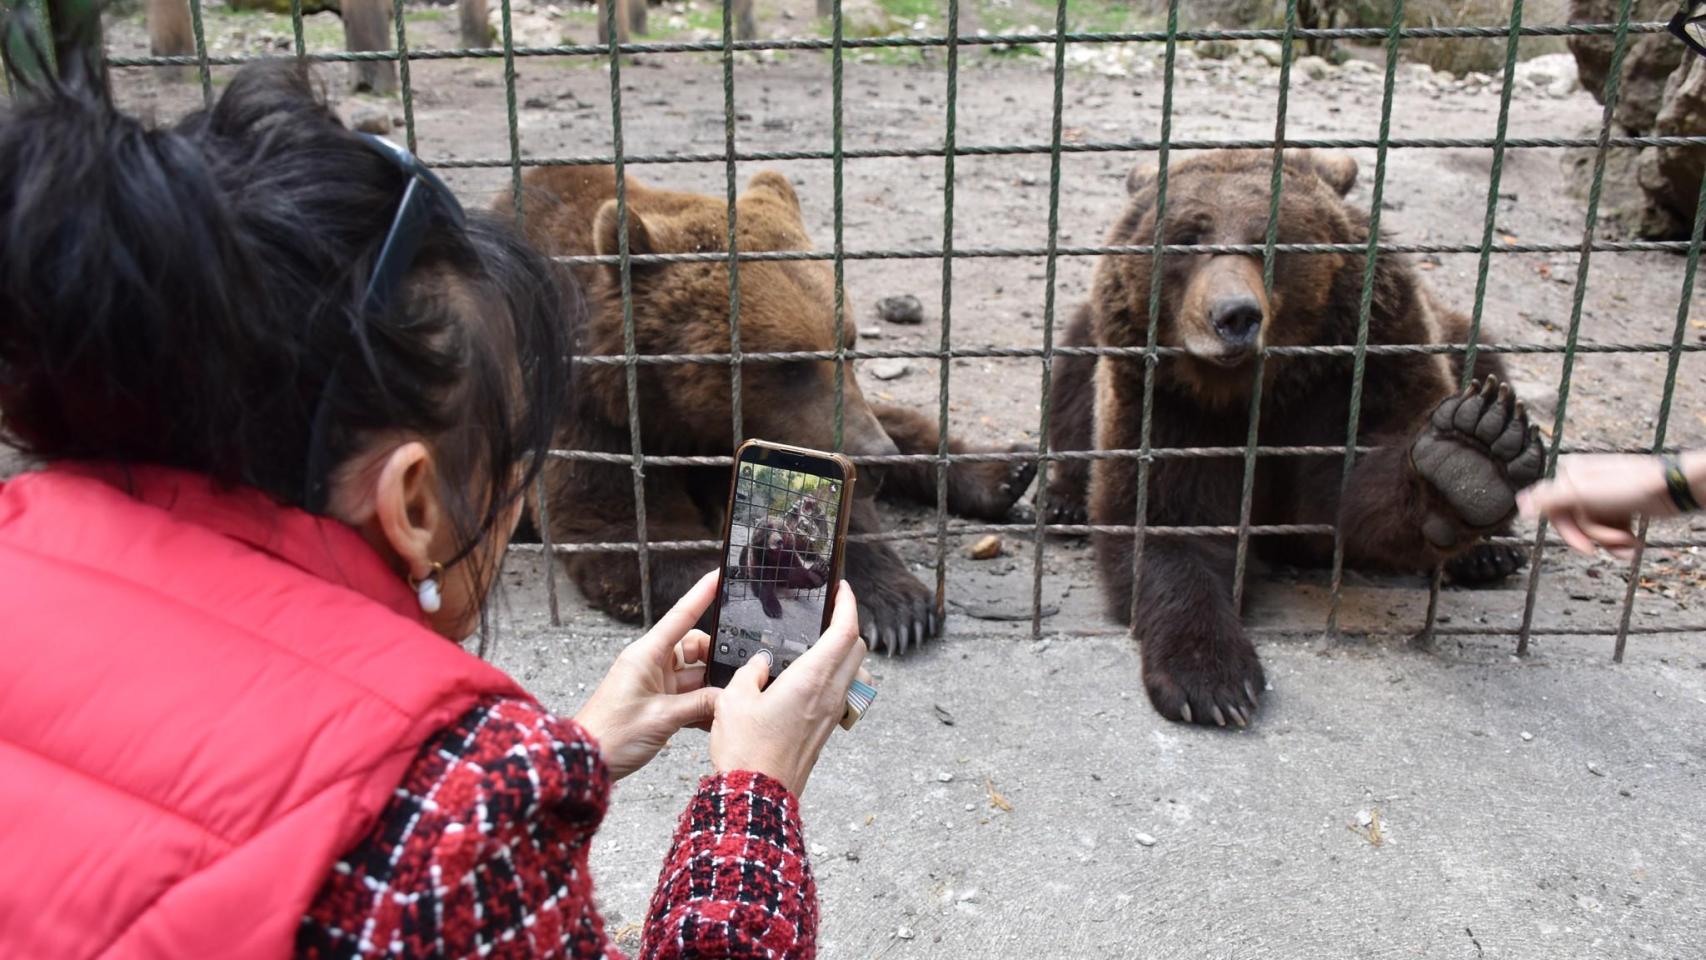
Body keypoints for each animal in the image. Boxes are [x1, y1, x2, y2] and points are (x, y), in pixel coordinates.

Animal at [499, 164, 1036, 653]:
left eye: (849, 343)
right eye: (789, 364)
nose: (877, 459)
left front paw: (898, 606)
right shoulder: (588, 417)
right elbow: (624, 525)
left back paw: (1007, 470)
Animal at [1044, 148, 1545, 727]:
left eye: (1271, 239)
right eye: (1188, 237)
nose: (1234, 315)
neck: (1248, 390)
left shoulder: (1357, 367)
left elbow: (1359, 488)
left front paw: (1466, 465)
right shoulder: (1165, 403)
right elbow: (1167, 521)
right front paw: (1212, 681)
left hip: (1457, 336)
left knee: (1482, 355)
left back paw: (1488, 537)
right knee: (1071, 378)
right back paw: (1062, 502)